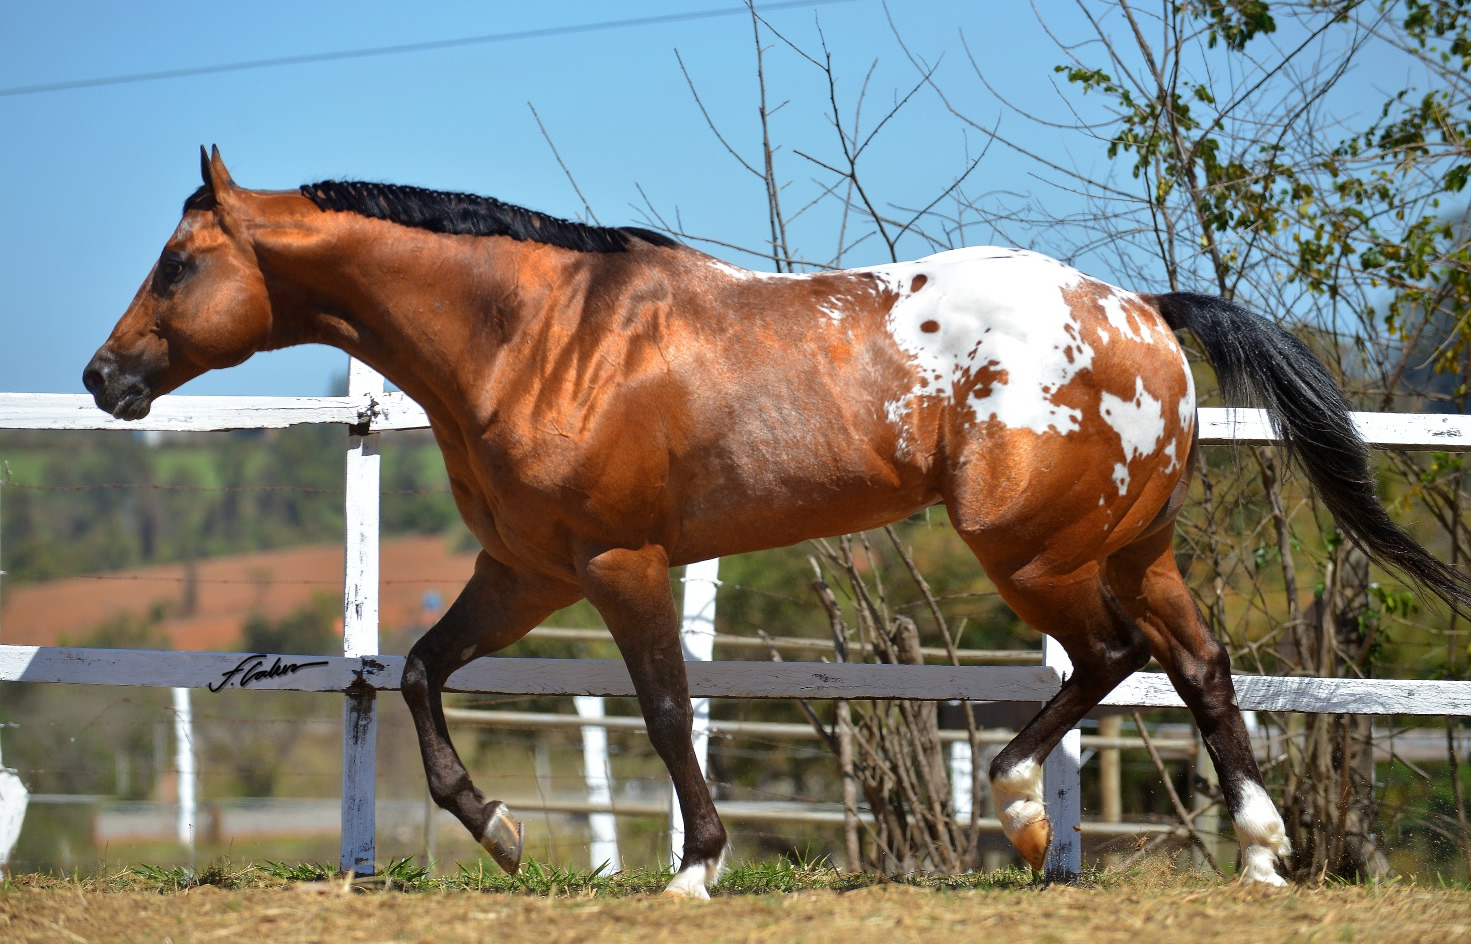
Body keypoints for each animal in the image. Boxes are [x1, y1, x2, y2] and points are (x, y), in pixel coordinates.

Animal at [86, 148, 1465, 888]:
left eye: (178, 263)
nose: (107, 379)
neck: (538, 338)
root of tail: (1141, 312)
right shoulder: (526, 569)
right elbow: (420, 668)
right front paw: (505, 833)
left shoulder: (620, 561)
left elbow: (663, 705)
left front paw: (695, 862)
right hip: (1131, 544)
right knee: (1200, 661)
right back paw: (1257, 848)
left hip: (1032, 549)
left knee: (1117, 656)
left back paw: (1023, 808)